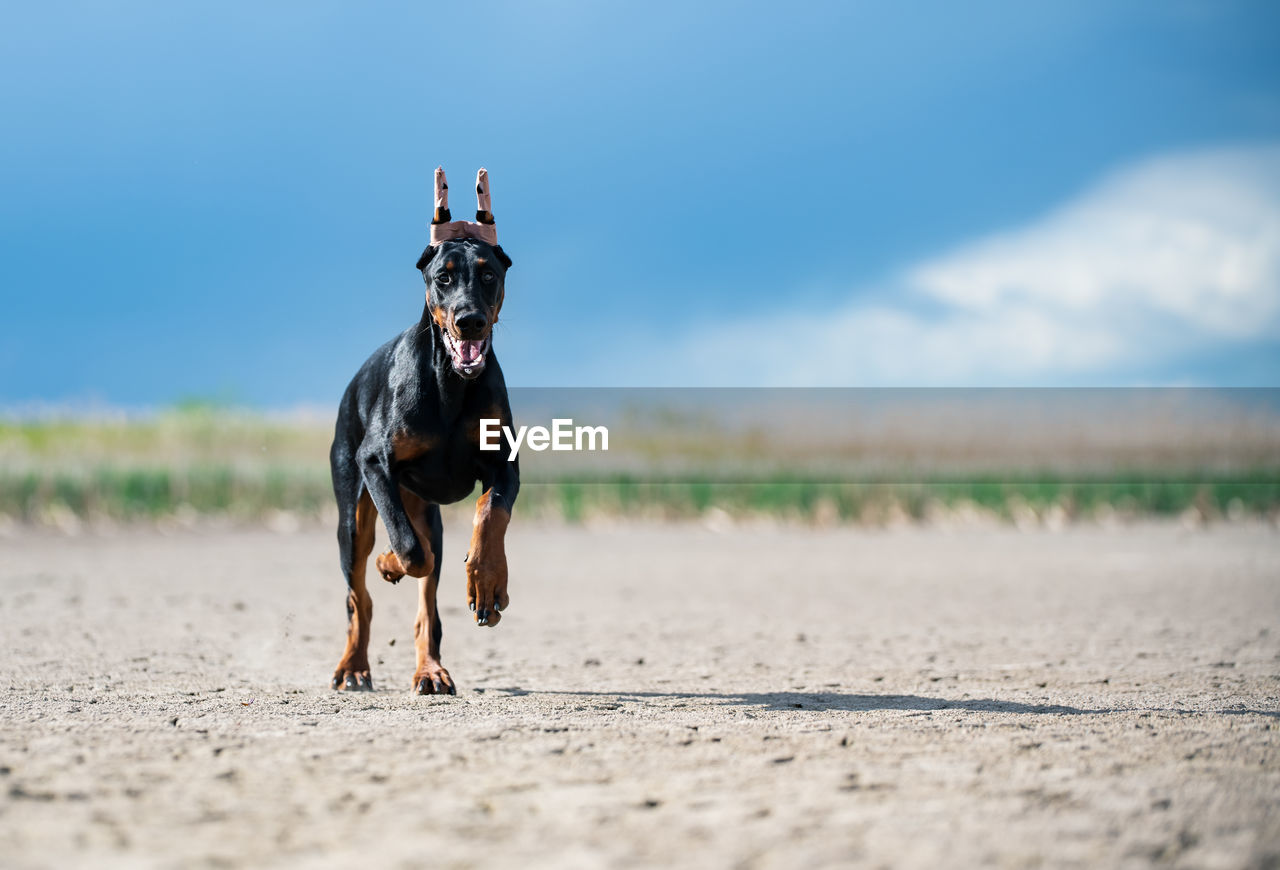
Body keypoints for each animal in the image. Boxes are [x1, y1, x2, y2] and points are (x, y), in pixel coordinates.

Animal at [330, 166, 519, 696]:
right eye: (444, 277)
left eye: (489, 275)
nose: (469, 320)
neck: (451, 384)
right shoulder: (376, 463)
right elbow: (413, 552)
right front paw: (390, 562)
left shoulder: (504, 463)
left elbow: (490, 513)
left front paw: (489, 584)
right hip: (352, 510)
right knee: (360, 596)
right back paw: (354, 666)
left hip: (425, 508)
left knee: (427, 611)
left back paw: (430, 671)